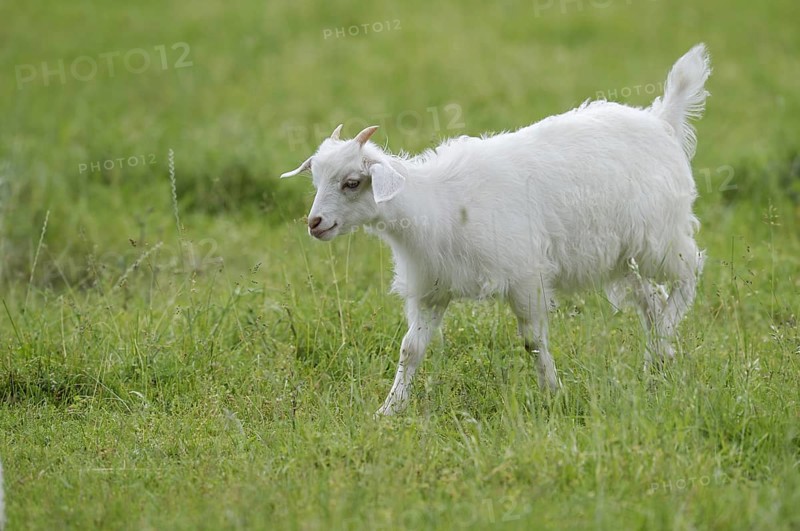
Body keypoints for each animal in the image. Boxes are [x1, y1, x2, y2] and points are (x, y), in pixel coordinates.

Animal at [281, 44, 710, 415]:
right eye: (316, 180)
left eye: (353, 182)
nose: (315, 223)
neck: (435, 202)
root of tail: (662, 119)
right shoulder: (433, 288)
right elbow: (410, 349)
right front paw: (389, 410)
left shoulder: (525, 276)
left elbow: (533, 342)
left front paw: (553, 394)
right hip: (623, 258)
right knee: (652, 301)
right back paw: (658, 359)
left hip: (660, 235)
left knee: (688, 274)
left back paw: (665, 340)